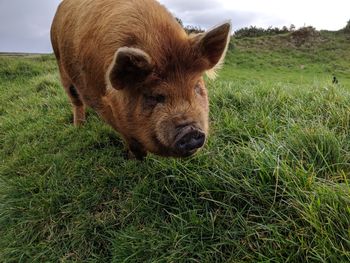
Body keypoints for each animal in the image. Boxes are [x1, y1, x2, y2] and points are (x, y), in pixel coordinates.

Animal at [50, 0, 231, 160]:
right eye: (154, 96)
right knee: (76, 101)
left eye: (195, 87)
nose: (191, 131)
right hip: (61, 66)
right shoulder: (101, 101)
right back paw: (78, 127)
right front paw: (137, 159)